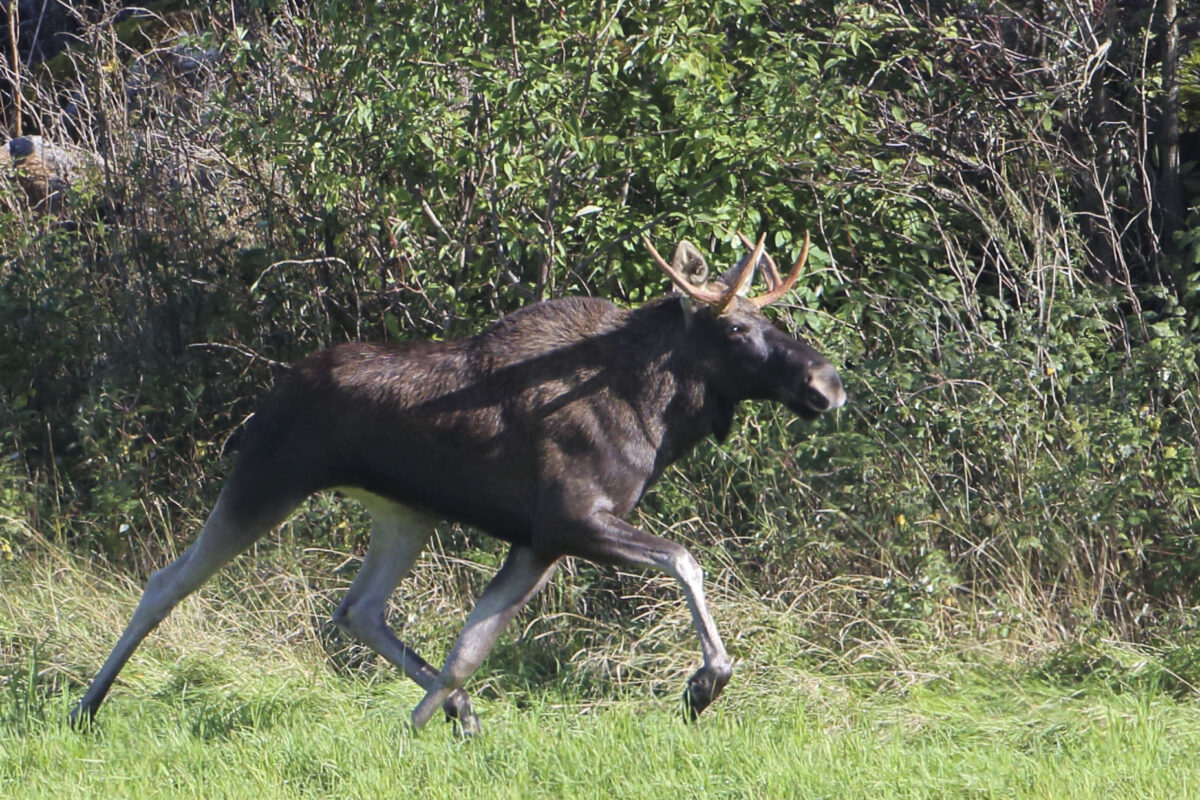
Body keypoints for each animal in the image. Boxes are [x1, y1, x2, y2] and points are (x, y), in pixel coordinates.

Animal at [70, 227, 844, 734]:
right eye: (736, 329)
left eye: (771, 317)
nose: (826, 383)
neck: (655, 416)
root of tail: (271, 393)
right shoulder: (572, 520)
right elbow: (687, 560)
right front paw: (705, 683)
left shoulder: (538, 542)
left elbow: (467, 648)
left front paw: (422, 724)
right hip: (266, 478)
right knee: (166, 582)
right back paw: (85, 706)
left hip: (405, 514)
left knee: (357, 609)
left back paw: (457, 712)